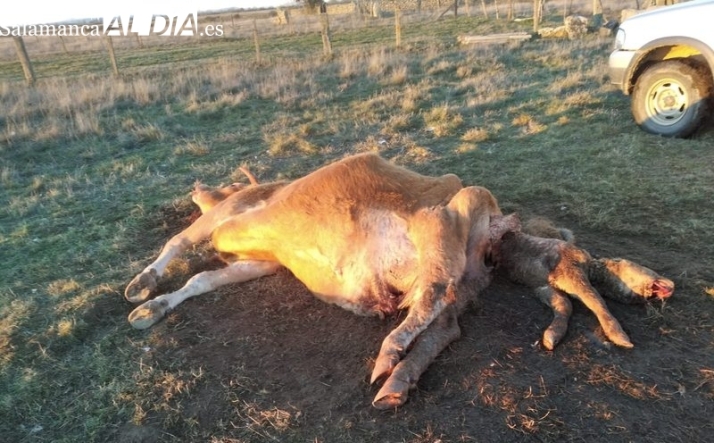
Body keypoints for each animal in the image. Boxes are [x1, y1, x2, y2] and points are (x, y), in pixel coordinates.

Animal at [124, 153, 501, 409]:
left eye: (230, 183)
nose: (197, 187)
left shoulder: (227, 215)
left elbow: (179, 241)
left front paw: (141, 286)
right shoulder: (262, 262)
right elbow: (203, 278)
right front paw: (153, 307)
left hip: (441, 215)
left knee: (434, 289)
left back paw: (389, 352)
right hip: (459, 270)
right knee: (446, 324)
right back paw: (395, 382)